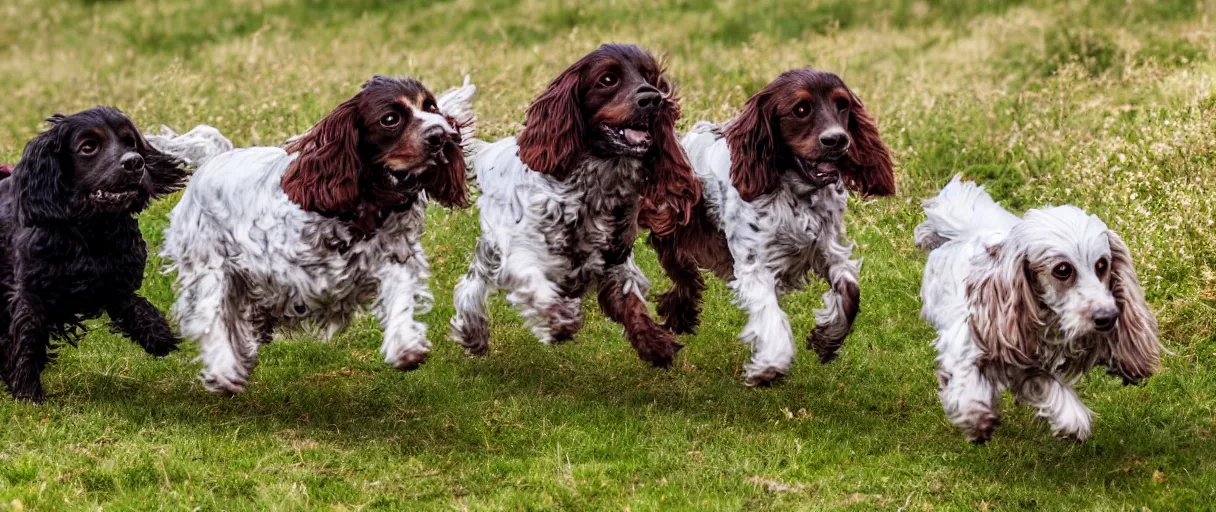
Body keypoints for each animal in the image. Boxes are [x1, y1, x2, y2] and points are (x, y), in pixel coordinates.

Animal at [1, 107, 188, 398]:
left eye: (130, 141)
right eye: (88, 147)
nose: (134, 163)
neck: (91, 231)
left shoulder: (114, 280)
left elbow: (133, 303)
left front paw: (159, 335)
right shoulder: (30, 292)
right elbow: (27, 337)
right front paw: (27, 390)